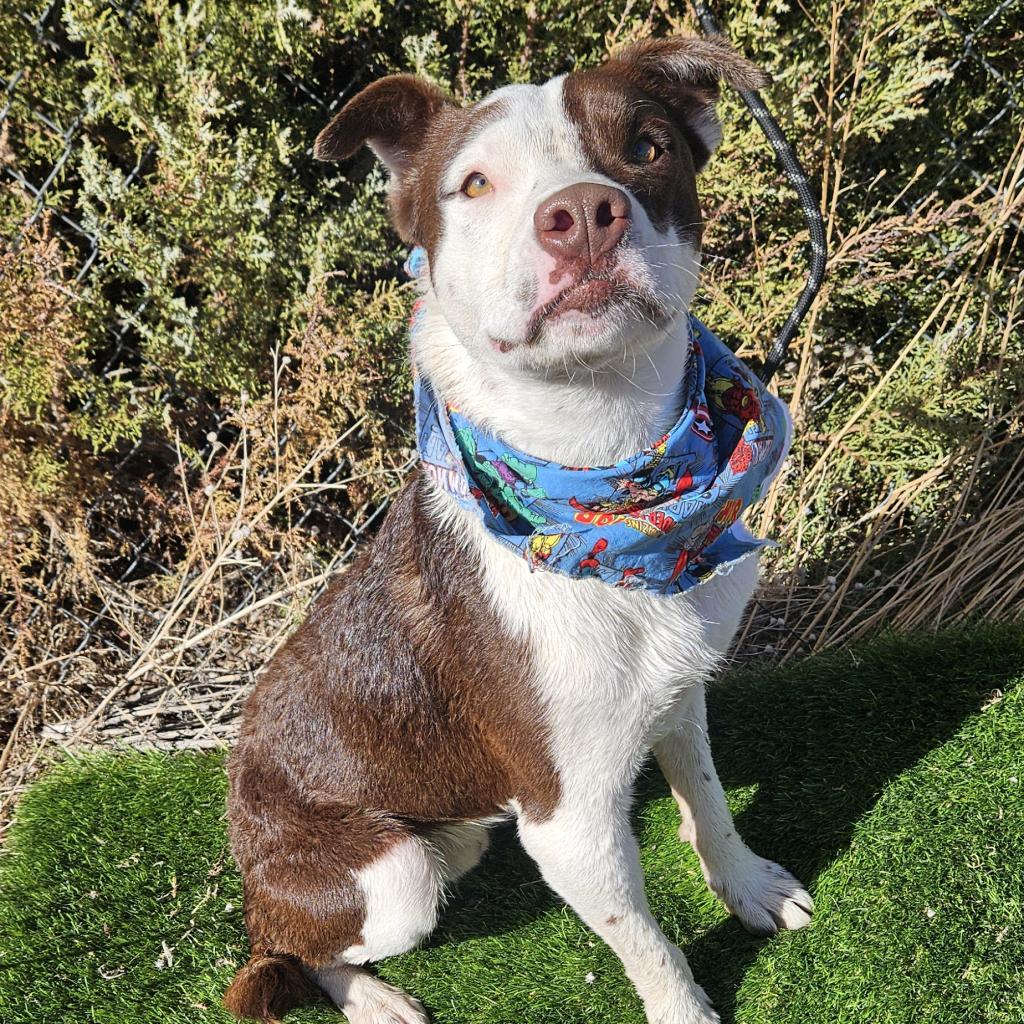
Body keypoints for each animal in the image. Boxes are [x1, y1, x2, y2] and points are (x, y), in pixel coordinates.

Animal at [226, 36, 815, 1024]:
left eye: (648, 146)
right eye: (474, 185)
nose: (582, 214)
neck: (608, 476)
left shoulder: (679, 691)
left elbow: (708, 800)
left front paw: (745, 886)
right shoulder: (568, 823)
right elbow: (647, 943)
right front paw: (686, 1007)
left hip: (453, 834)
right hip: (390, 877)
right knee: (295, 948)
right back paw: (371, 998)